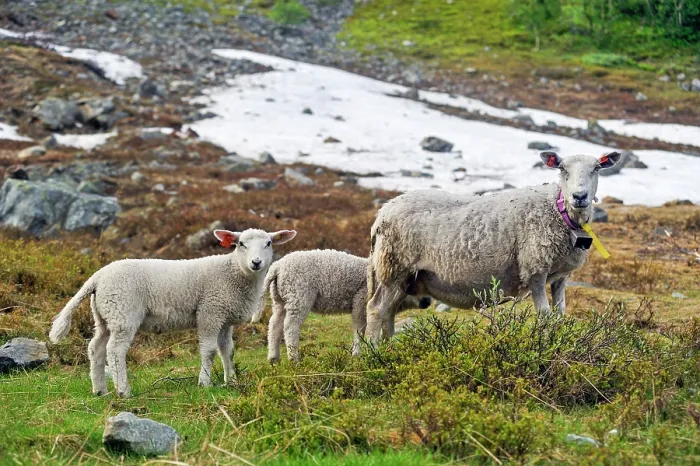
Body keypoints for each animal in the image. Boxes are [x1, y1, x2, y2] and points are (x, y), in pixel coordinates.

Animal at [49, 228, 296, 397]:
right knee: (115, 351)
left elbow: (228, 351)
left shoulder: (224, 318)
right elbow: (209, 351)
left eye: (268, 243)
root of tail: (97, 277)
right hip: (123, 313)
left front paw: (231, 381)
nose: (256, 262)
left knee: (95, 348)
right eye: (241, 244)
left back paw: (100, 390)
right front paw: (205, 383)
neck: (234, 273)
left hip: (105, 315)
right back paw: (123, 391)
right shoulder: (210, 312)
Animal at [255, 249, 431, 363]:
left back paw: (273, 358)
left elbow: (385, 328)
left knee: (274, 324)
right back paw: (294, 358)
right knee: (290, 327)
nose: (427, 301)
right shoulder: (360, 300)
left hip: (280, 298)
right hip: (299, 295)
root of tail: (277, 267)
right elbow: (359, 328)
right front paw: (358, 353)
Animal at [365, 151, 621, 345]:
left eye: (597, 168)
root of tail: (382, 213)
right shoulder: (535, 269)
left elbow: (560, 314)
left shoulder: (560, 275)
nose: (580, 196)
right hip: (395, 265)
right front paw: (546, 346)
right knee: (376, 309)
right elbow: (544, 315)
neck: (560, 212)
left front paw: (558, 343)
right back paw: (369, 352)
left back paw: (387, 350)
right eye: (562, 169)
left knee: (389, 311)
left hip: (406, 276)